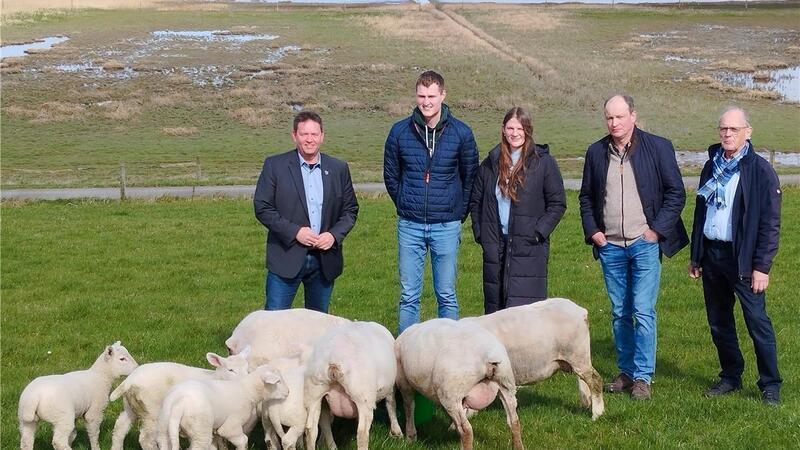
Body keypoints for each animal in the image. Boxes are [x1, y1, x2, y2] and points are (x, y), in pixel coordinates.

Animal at [107, 346, 250, 450]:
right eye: (230, 370)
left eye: (247, 369)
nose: (245, 380)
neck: (215, 378)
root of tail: (130, 381)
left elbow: (220, 440)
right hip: (151, 409)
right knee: (146, 439)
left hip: (131, 406)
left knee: (120, 428)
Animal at [155, 362, 288, 450]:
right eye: (278, 381)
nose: (288, 392)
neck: (247, 390)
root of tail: (179, 402)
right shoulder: (231, 426)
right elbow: (242, 440)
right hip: (200, 431)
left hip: (164, 425)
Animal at [304, 322, 404, 450]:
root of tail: (334, 359)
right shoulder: (390, 387)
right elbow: (391, 404)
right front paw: (396, 432)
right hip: (362, 395)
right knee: (362, 433)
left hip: (314, 394)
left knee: (313, 429)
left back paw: (331, 446)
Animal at [396, 320, 524, 450]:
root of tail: (488, 355)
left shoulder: (403, 381)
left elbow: (409, 406)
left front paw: (410, 437)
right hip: (506, 384)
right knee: (514, 421)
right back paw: (518, 446)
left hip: (450, 394)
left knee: (466, 430)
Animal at [462, 298, 608, 420]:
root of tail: (581, 312)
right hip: (576, 357)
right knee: (584, 381)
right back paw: (586, 405)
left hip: (577, 354)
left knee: (595, 380)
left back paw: (597, 414)